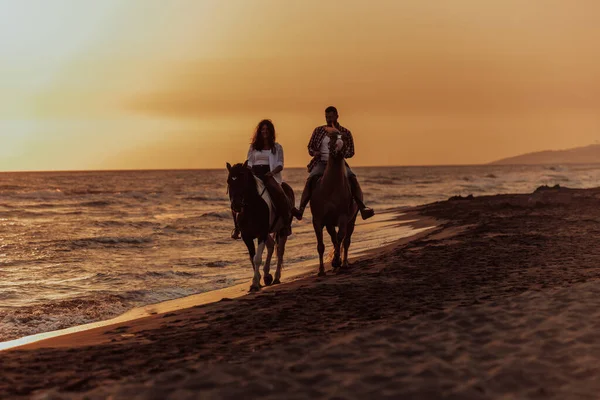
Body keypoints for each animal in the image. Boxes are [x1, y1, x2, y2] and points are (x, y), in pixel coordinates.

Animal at [226, 161, 294, 292]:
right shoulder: (247, 236)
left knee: (280, 251)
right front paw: (258, 280)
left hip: (282, 231)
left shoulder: (261, 233)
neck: (252, 208)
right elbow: (253, 258)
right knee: (271, 245)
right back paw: (267, 276)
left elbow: (257, 258)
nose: (236, 205)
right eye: (229, 181)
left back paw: (276, 277)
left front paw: (255, 284)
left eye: (243, 178)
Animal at [308, 131, 358, 276]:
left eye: (345, 141)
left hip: (352, 220)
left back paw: (344, 263)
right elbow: (321, 245)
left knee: (346, 241)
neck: (330, 188)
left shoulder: (343, 217)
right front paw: (321, 270)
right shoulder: (318, 220)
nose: (338, 151)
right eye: (331, 140)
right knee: (334, 239)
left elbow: (341, 237)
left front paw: (336, 261)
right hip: (330, 223)